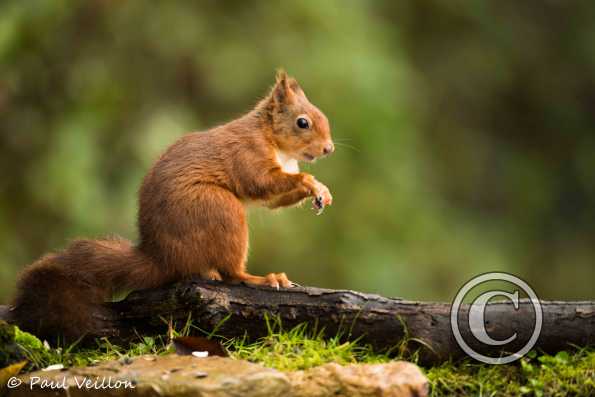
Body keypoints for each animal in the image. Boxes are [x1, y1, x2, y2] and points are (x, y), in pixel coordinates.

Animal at [8, 70, 336, 340]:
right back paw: (261, 279)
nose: (329, 149)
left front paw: (322, 191)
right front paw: (309, 182)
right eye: (302, 122)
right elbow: (261, 183)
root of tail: (161, 257)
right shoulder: (247, 155)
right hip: (219, 208)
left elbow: (274, 200)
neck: (275, 143)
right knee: (232, 274)